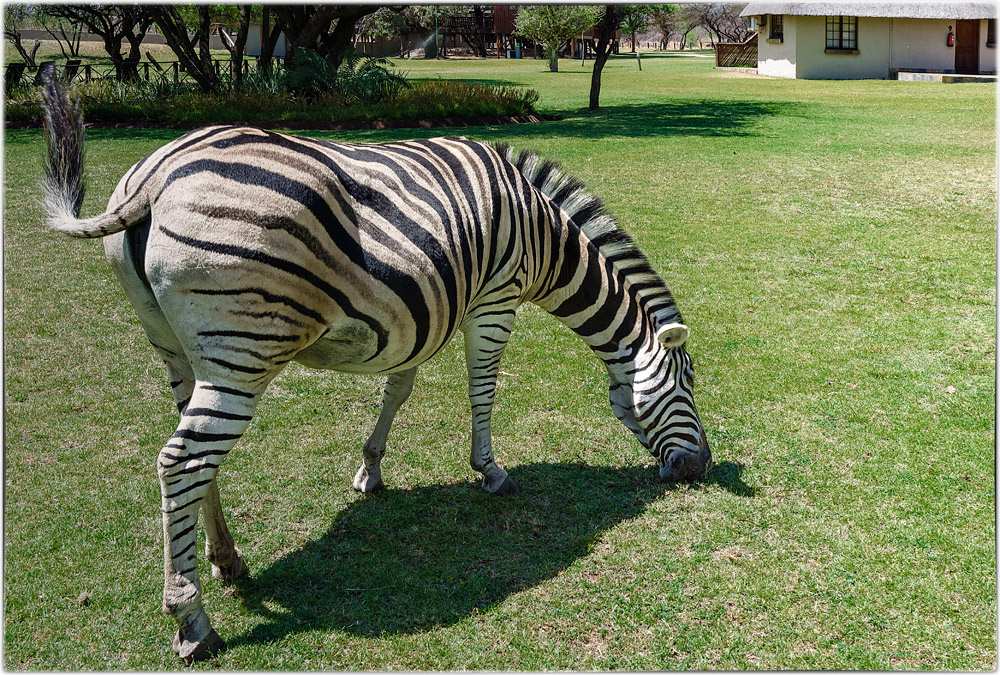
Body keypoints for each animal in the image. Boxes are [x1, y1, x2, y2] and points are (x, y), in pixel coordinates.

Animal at [39, 67, 712, 660]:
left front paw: (370, 470)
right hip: (241, 351)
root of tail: (156, 174)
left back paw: (227, 559)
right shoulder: (495, 298)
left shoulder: (421, 314)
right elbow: (484, 388)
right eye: (686, 387)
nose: (700, 468)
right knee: (181, 462)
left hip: (180, 350)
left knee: (199, 462)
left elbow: (398, 388)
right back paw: (192, 621)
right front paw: (490, 471)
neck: (542, 238)